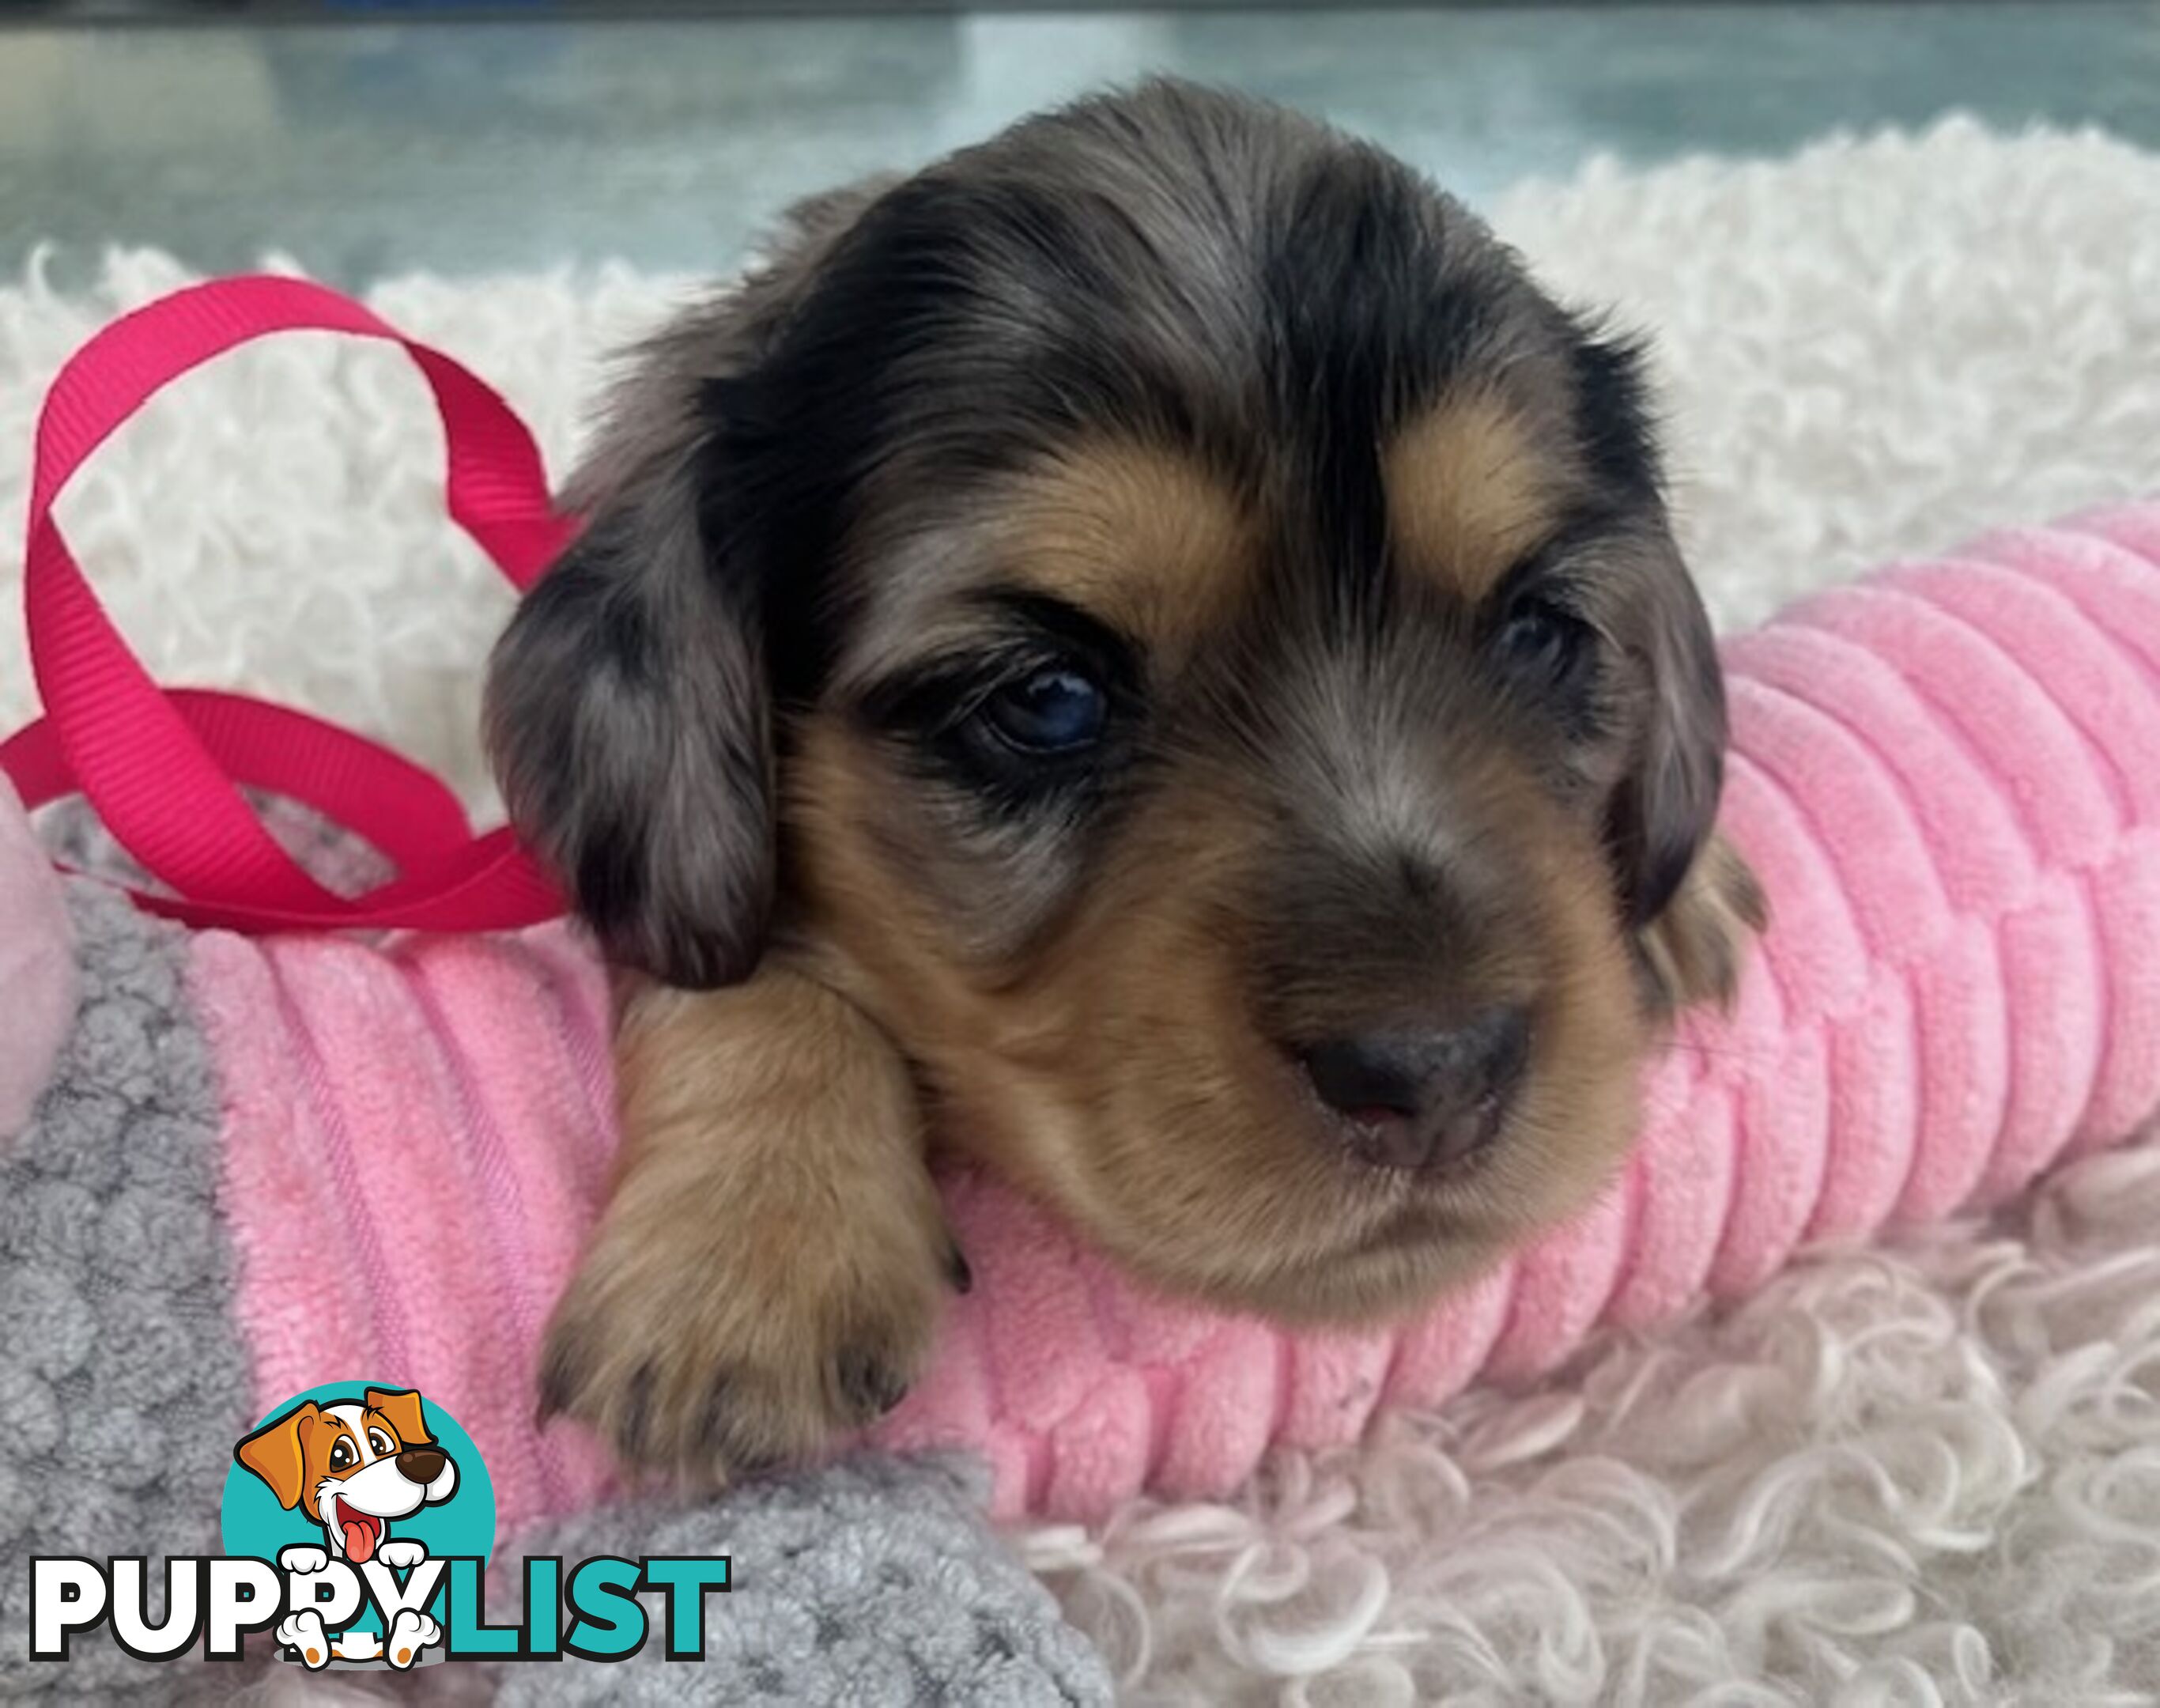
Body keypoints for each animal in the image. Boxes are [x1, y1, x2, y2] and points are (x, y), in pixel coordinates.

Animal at [497, 80, 1762, 1476]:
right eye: (1047, 699)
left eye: (1536, 632)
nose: (1435, 1079)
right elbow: (727, 962)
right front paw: (745, 1255)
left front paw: (1688, 886)